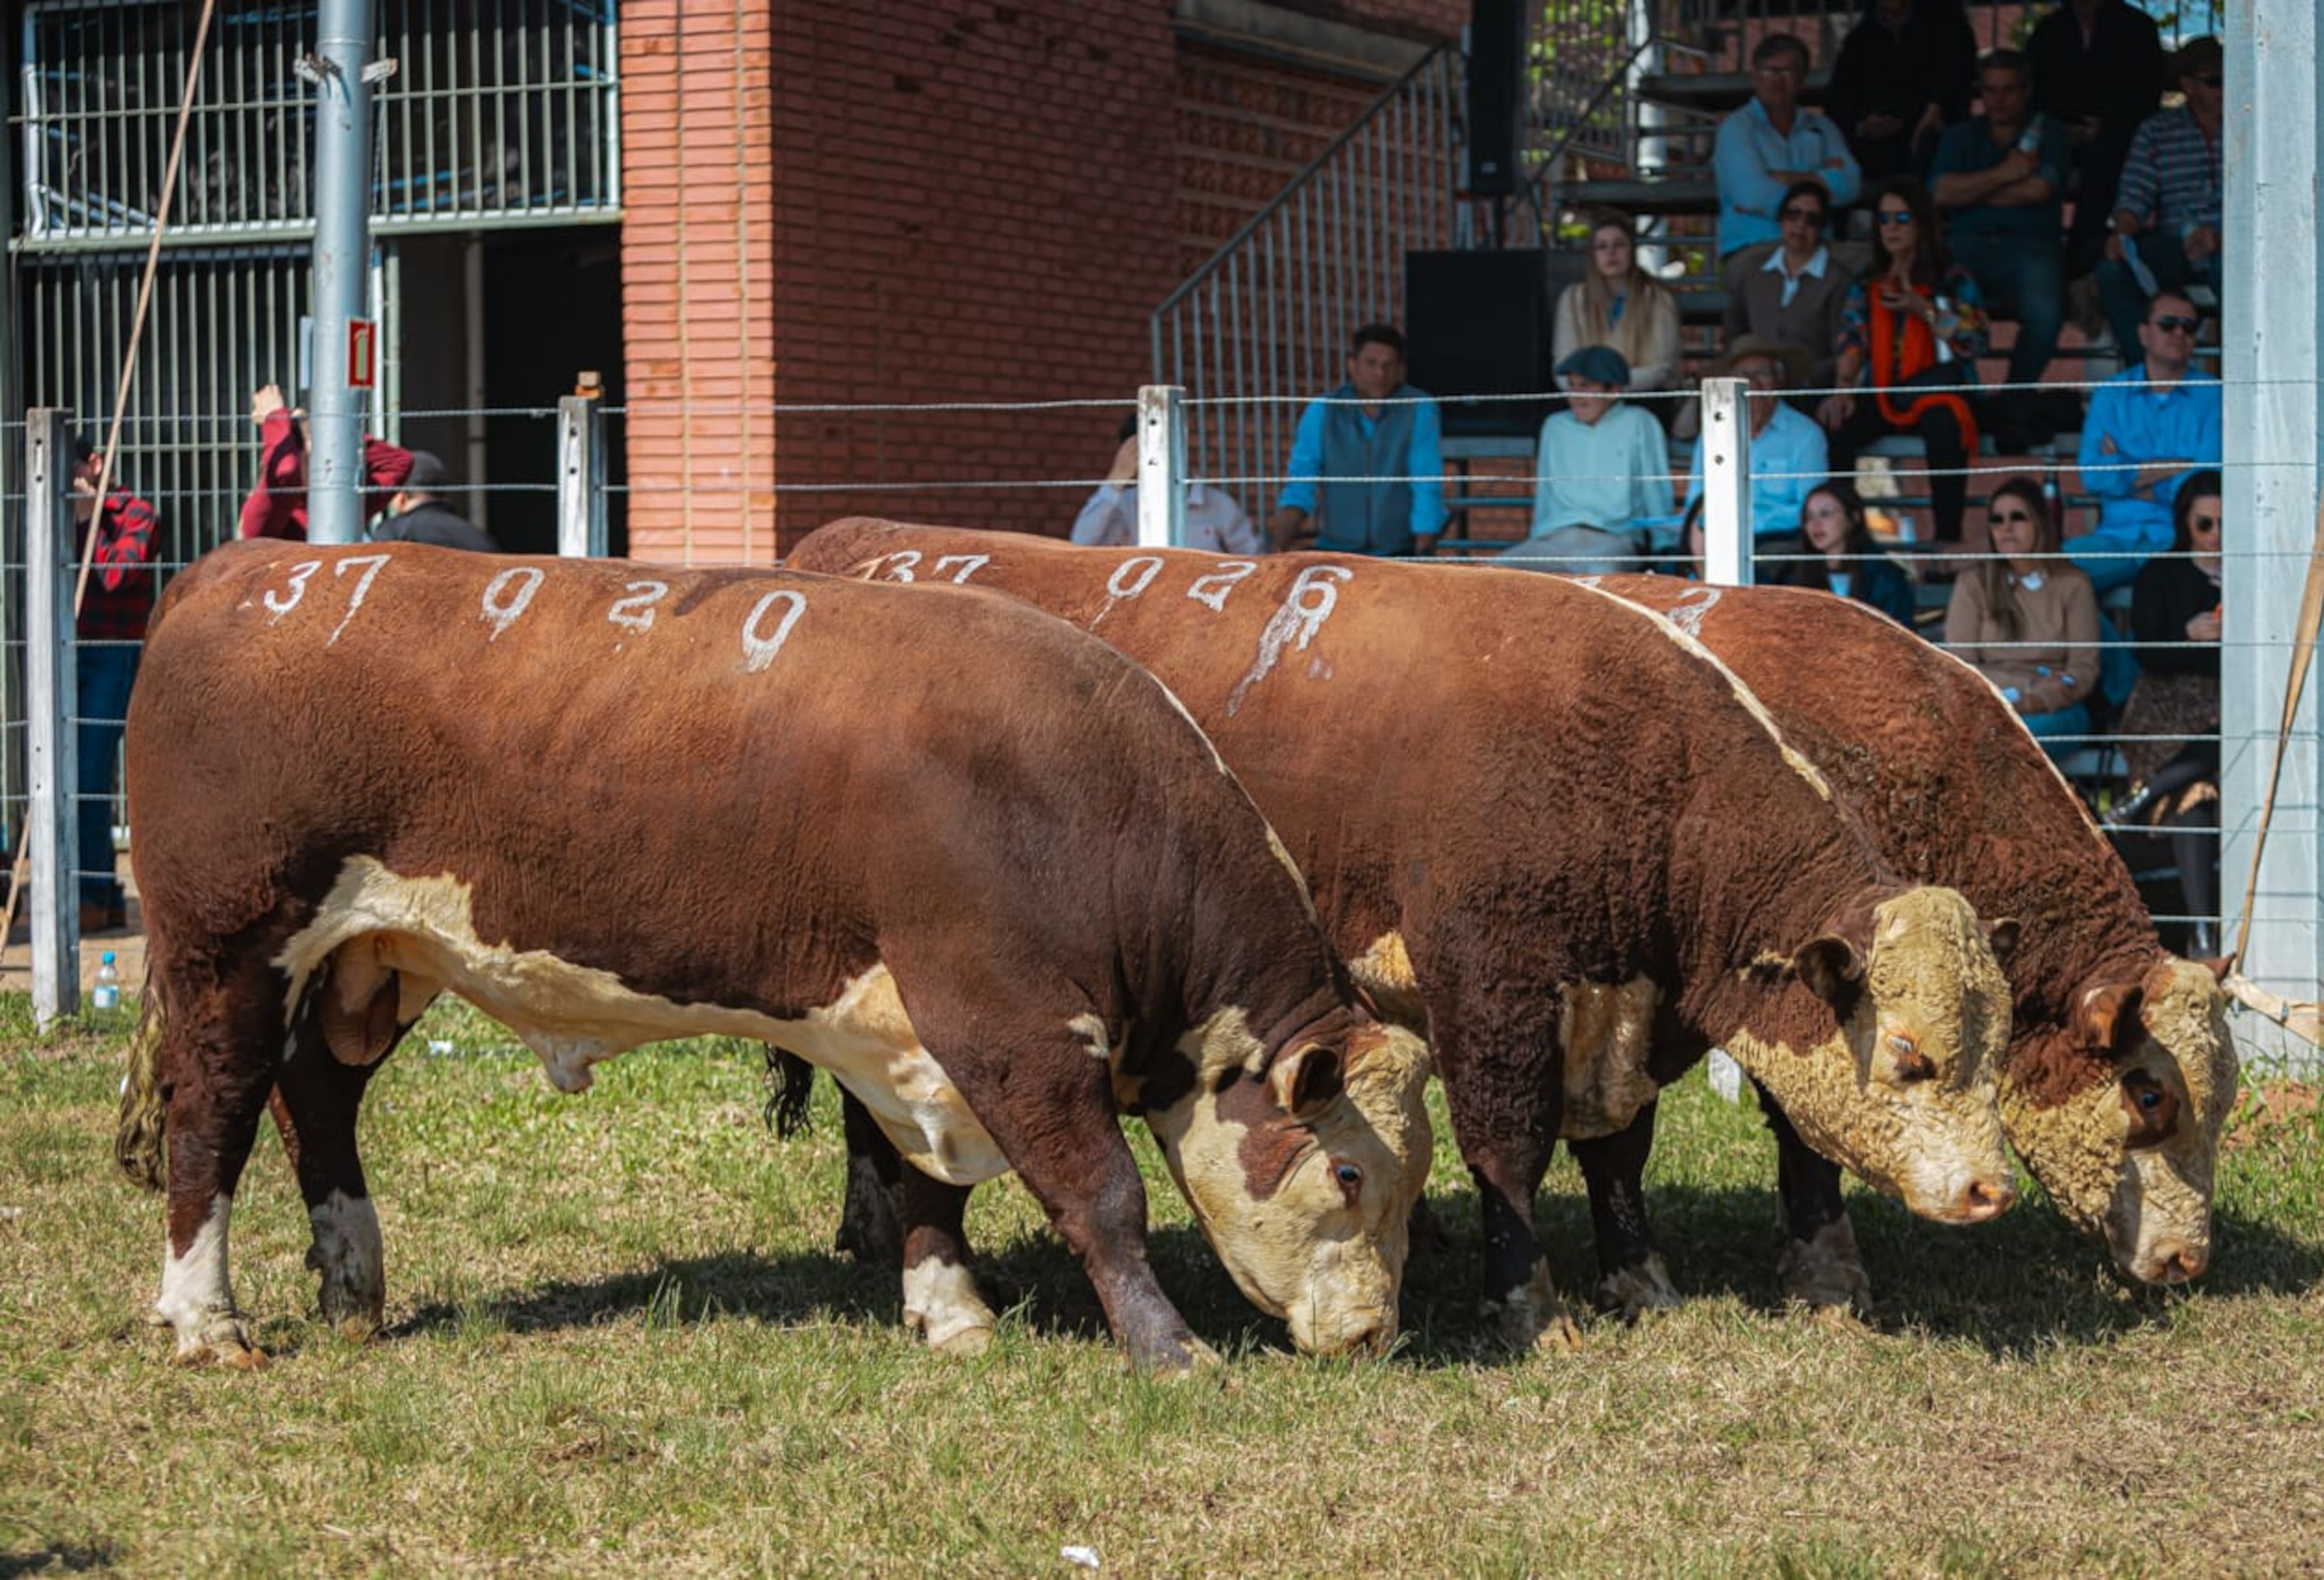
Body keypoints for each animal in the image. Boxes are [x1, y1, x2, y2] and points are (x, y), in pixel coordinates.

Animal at [126, 544, 1441, 1366]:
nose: (1377, 1332)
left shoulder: (913, 1035)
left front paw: (950, 1312)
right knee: (215, 1114)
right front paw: (1167, 1349)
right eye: (1346, 1173)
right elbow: (1100, 1192)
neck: (1087, 800)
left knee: (317, 1098)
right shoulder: (1004, 1020)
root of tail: (238, 568)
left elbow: (926, 1184)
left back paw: (354, 1283)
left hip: (368, 959)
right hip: (230, 945)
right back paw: (205, 1319)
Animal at [790, 520, 2027, 1348]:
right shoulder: (1489, 980)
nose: (1990, 1193)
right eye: (1909, 1056)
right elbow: (1509, 1147)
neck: (1641, 767)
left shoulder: (1619, 996)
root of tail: (868, 541)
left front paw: (1637, 1277)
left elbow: (1617, 1145)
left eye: (1996, 1051)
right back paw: (881, 1228)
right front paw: (1528, 1306)